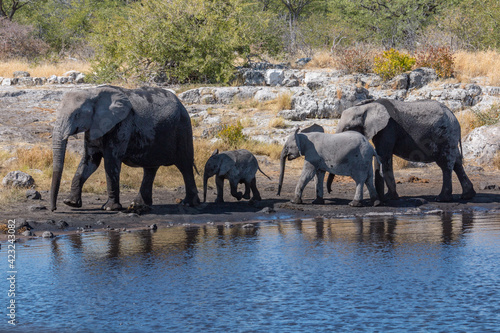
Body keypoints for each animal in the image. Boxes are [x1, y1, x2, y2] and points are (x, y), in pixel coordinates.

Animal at [49, 85, 200, 210]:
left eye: (77, 115)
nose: (54, 209)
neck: (92, 92)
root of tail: (181, 104)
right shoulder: (94, 126)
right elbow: (89, 161)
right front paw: (71, 203)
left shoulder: (121, 124)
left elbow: (110, 162)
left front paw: (109, 208)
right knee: (150, 169)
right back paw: (138, 205)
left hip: (183, 128)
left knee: (185, 165)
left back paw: (189, 203)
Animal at [336, 98, 476, 202]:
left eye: (348, 128)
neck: (366, 106)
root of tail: (454, 117)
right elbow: (383, 157)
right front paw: (387, 197)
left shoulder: (388, 128)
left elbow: (383, 156)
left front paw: (387, 198)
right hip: (449, 136)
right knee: (457, 163)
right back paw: (467, 196)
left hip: (445, 135)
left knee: (446, 163)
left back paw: (442, 199)